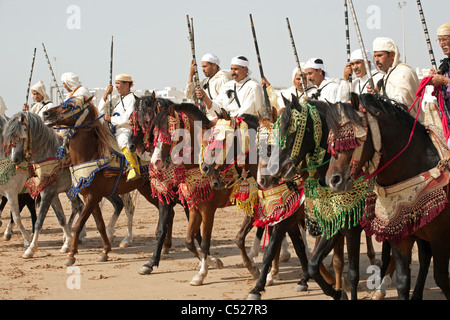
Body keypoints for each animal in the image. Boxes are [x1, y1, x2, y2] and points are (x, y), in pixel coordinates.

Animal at [40, 96, 160, 266]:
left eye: (69, 106)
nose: (46, 113)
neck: (91, 155)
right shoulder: (90, 196)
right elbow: (100, 224)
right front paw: (105, 251)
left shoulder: (93, 196)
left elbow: (78, 224)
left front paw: (71, 255)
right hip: (146, 189)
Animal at [326, 94, 448, 298]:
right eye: (332, 143)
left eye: (352, 140)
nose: (332, 180)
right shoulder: (401, 237)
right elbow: (403, 282)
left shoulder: (440, 236)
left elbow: (442, 279)